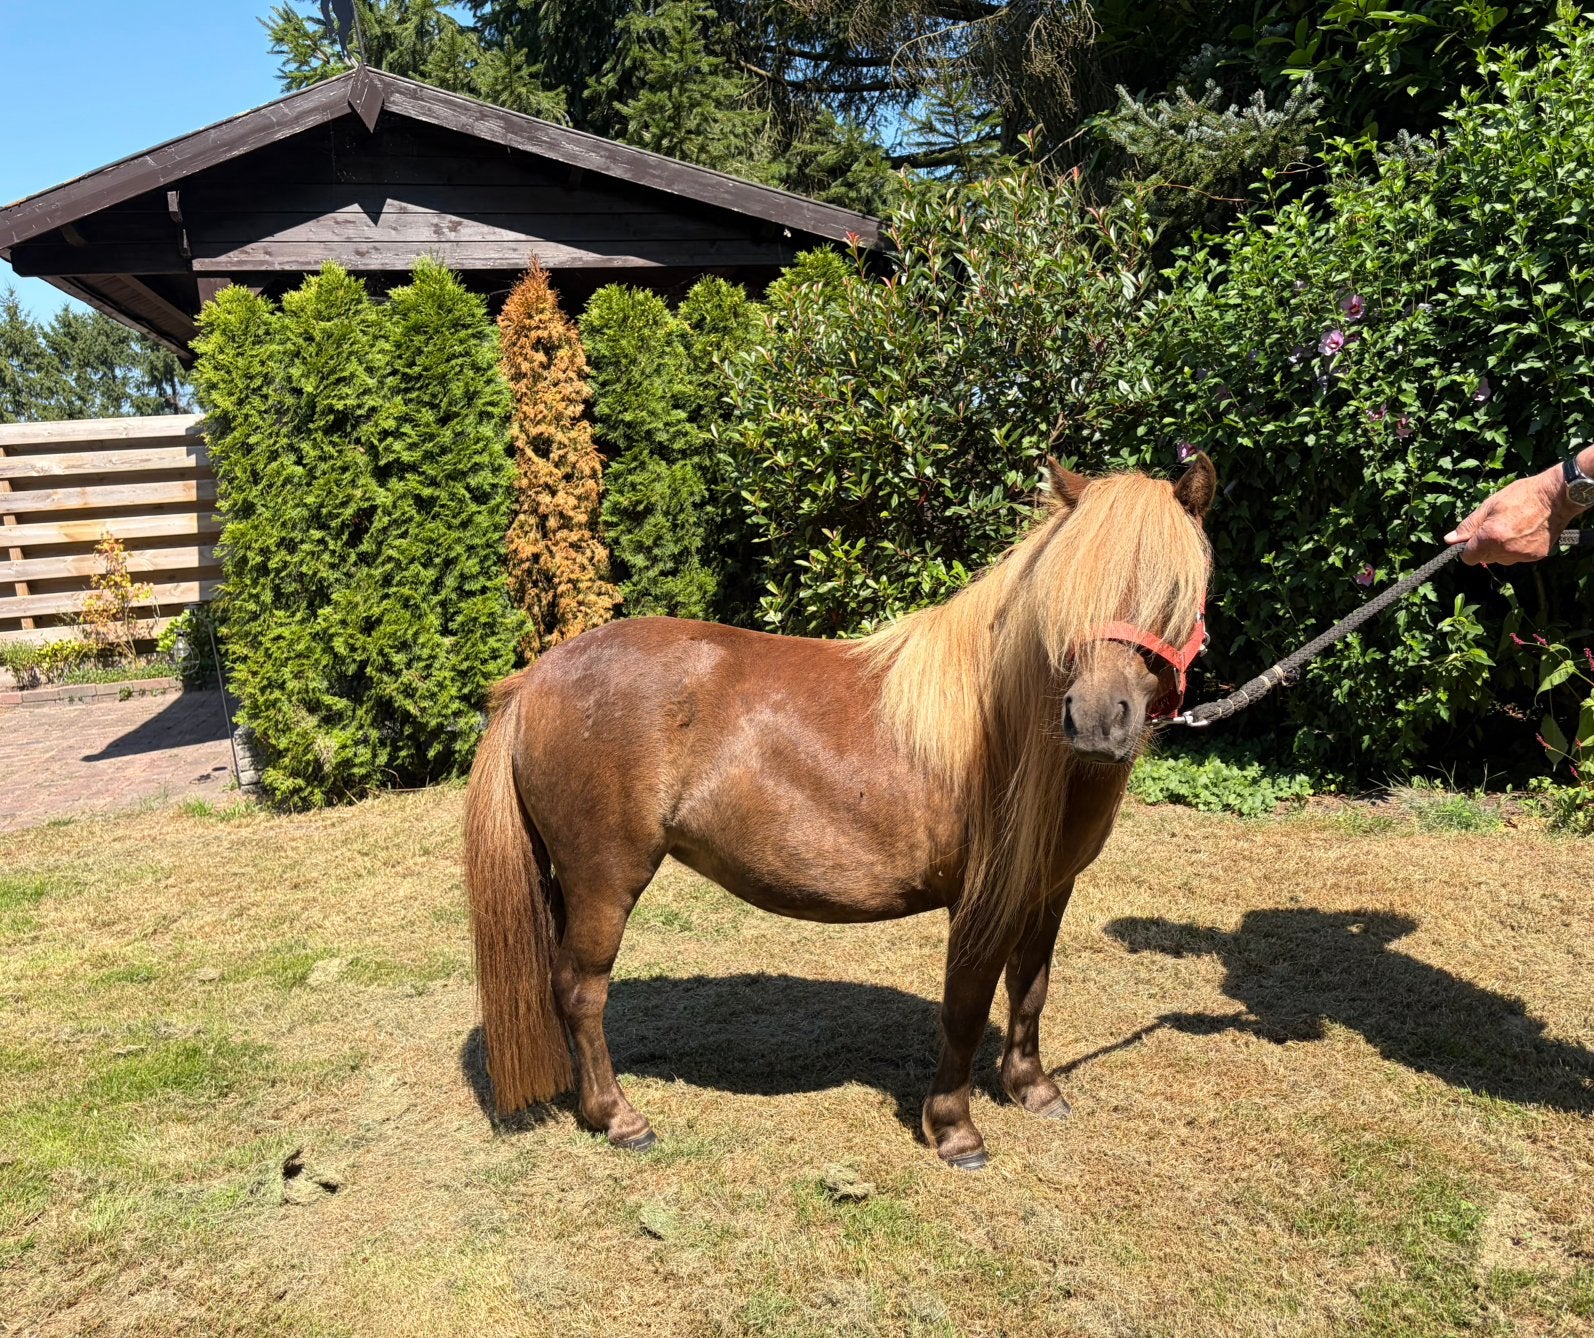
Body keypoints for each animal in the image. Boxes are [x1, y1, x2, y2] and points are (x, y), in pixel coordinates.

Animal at [465, 453, 1216, 1169]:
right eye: (1063, 597)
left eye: (1178, 590)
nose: (1095, 721)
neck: (1001, 725)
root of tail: (535, 680)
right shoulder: (982, 900)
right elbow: (967, 1005)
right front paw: (955, 1131)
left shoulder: (1047, 889)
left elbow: (1029, 989)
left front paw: (1033, 1090)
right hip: (603, 880)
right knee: (581, 990)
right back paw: (619, 1119)